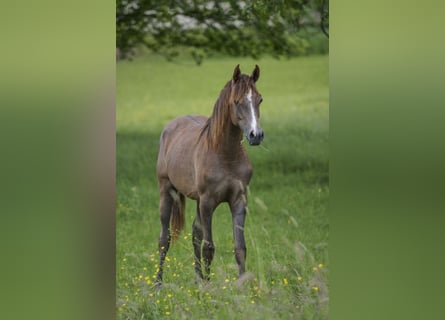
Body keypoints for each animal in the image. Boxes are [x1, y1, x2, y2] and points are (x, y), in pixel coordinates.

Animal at [154, 63, 262, 284]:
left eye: (260, 99)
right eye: (237, 101)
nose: (256, 135)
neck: (225, 155)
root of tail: (171, 126)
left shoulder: (239, 201)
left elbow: (240, 248)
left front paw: (242, 286)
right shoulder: (207, 202)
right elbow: (208, 247)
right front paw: (208, 287)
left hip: (196, 200)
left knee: (195, 234)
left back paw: (197, 280)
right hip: (167, 191)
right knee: (164, 239)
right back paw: (158, 284)